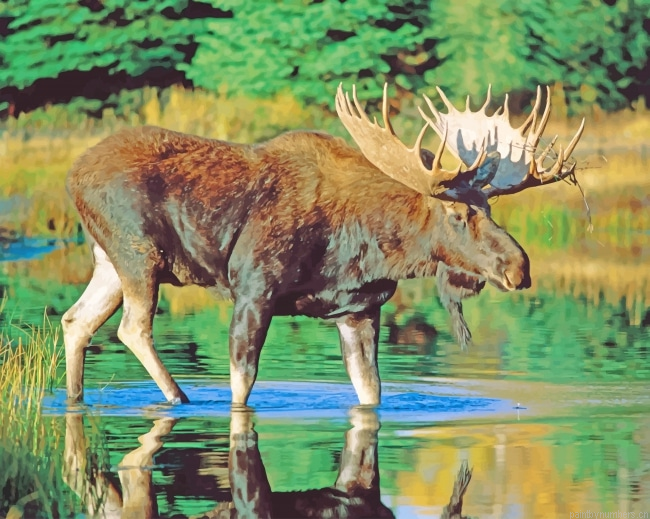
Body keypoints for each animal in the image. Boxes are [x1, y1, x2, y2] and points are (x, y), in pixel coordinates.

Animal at [62, 83, 584, 407]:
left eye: (490, 209)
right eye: (458, 215)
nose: (519, 268)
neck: (367, 247)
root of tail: (73, 174)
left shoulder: (359, 309)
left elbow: (371, 392)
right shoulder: (253, 289)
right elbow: (241, 387)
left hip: (108, 260)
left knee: (76, 320)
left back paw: (75, 399)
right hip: (137, 253)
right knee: (131, 327)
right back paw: (179, 398)